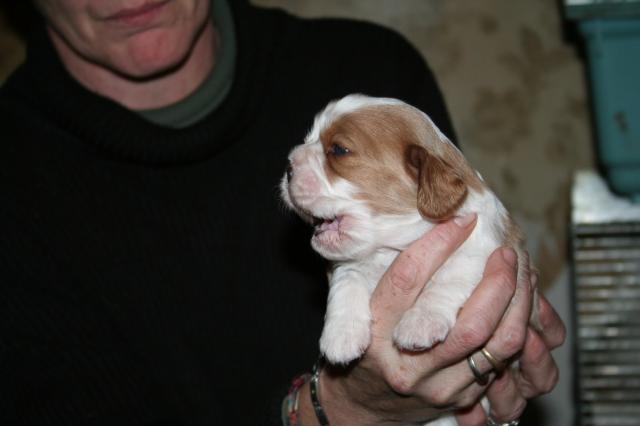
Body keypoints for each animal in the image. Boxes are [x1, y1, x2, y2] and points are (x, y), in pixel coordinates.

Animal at [282, 94, 536, 366]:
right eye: (308, 138)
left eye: (339, 149)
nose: (288, 166)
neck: (390, 249)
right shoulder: (348, 264)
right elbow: (347, 281)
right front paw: (340, 336)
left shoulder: (486, 249)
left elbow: (450, 278)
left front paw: (419, 324)